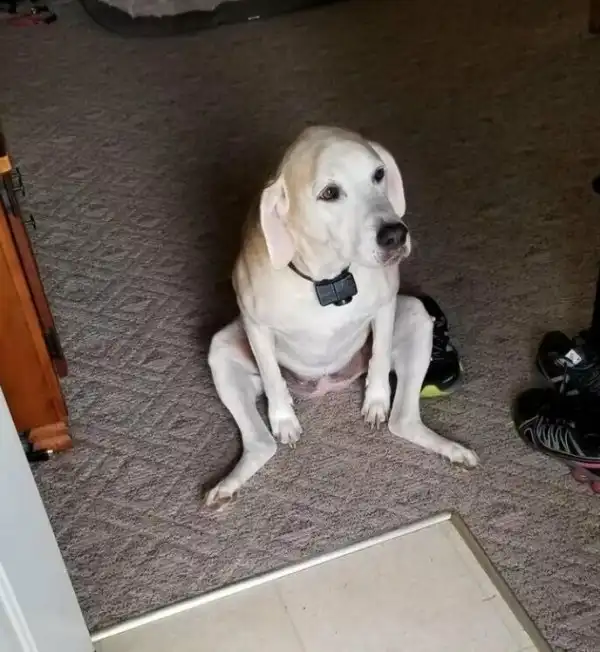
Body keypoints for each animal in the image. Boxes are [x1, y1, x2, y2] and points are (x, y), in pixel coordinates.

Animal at [206, 126, 478, 508]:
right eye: (330, 193)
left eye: (379, 174)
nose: (395, 234)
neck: (328, 280)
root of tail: (325, 385)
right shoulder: (255, 326)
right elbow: (272, 378)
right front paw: (284, 418)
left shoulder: (387, 305)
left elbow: (380, 355)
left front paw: (376, 399)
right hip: (222, 350)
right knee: (263, 444)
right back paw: (228, 485)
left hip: (417, 317)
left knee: (403, 421)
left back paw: (450, 449)